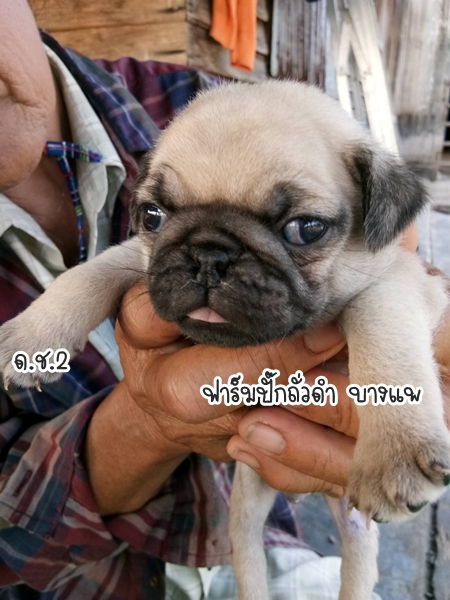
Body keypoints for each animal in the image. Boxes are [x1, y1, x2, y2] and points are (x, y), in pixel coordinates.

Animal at [1, 81, 449, 600]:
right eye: (152, 216)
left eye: (305, 229)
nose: (208, 255)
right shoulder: (143, 259)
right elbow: (91, 271)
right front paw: (34, 336)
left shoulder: (400, 283)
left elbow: (383, 335)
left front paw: (394, 450)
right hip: (246, 505)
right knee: (248, 555)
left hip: (353, 530)